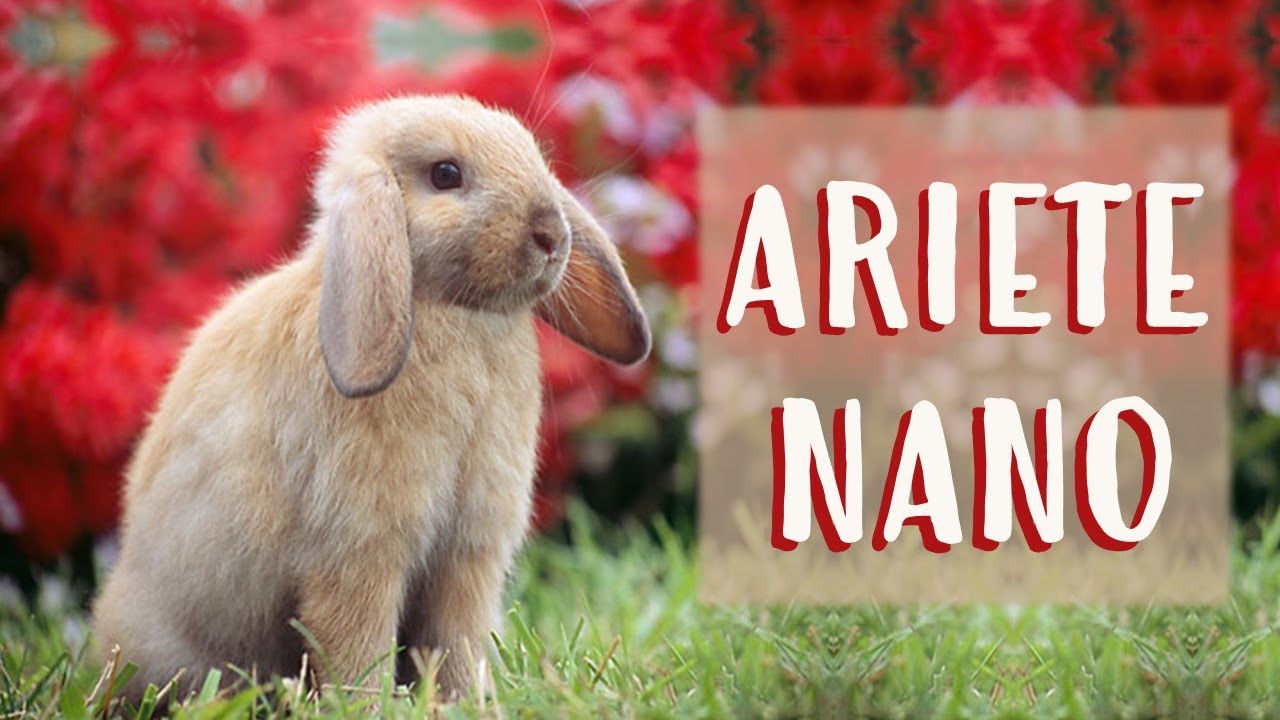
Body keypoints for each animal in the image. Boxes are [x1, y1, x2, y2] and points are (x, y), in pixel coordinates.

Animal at [90, 94, 650, 703]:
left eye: (534, 155)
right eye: (445, 174)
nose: (551, 234)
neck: (449, 309)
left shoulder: (467, 557)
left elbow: (456, 642)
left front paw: (463, 704)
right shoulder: (360, 551)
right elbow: (357, 642)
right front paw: (365, 704)